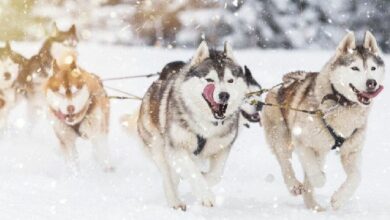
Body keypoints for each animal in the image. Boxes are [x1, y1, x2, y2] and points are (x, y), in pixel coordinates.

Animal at [136, 41, 256, 210]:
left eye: (230, 80)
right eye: (209, 80)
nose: (224, 95)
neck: (207, 125)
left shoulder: (222, 148)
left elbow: (215, 175)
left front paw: (204, 182)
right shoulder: (177, 147)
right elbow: (192, 172)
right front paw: (205, 195)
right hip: (157, 146)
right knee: (168, 177)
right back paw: (175, 201)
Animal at [262, 31, 384, 211]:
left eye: (373, 68)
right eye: (355, 68)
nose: (371, 83)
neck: (342, 104)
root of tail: (285, 81)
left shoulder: (351, 151)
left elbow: (356, 177)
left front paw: (339, 199)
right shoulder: (302, 142)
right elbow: (315, 173)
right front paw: (321, 179)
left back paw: (314, 207)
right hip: (281, 135)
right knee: (285, 162)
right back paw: (295, 185)